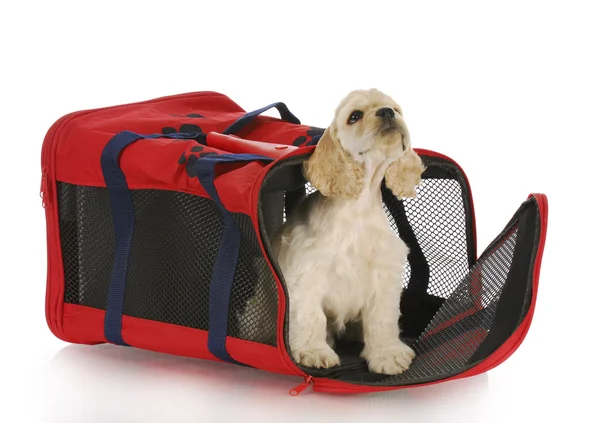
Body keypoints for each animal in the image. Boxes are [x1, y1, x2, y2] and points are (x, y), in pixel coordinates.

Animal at [272, 88, 426, 374]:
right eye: (354, 116)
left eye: (396, 109)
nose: (387, 112)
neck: (358, 208)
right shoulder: (306, 274)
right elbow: (311, 317)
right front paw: (314, 351)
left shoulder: (383, 273)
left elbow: (383, 318)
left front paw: (388, 355)